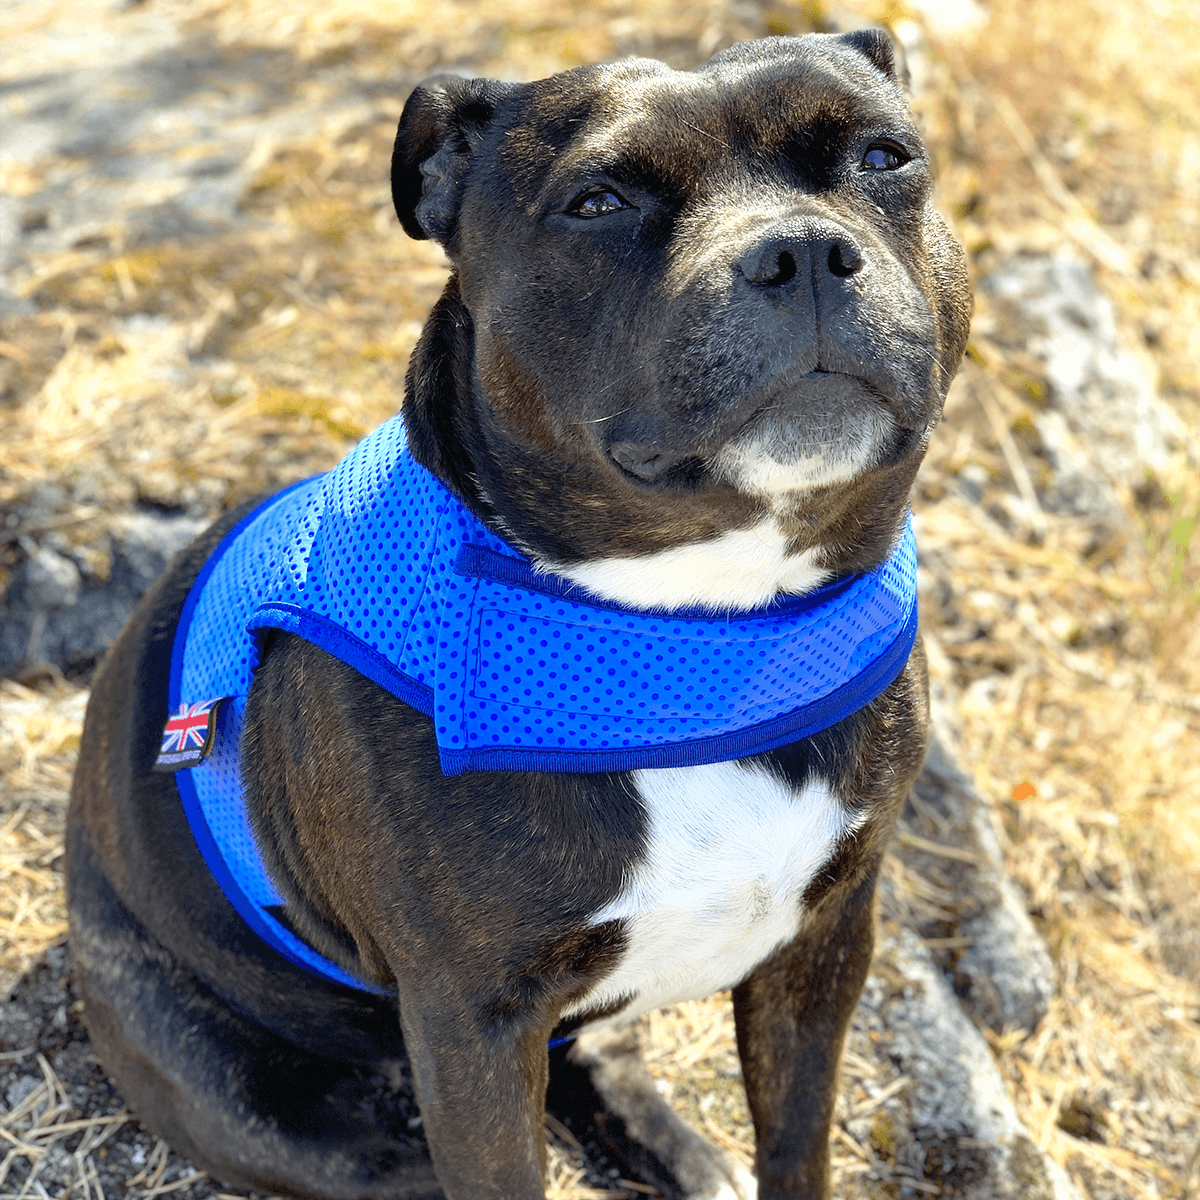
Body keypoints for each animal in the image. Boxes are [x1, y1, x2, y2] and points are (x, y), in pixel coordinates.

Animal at [65, 30, 969, 1200]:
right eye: (597, 202)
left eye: (881, 156)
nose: (803, 251)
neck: (705, 628)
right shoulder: (472, 1028)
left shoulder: (825, 946)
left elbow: (795, 1140)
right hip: (234, 1086)